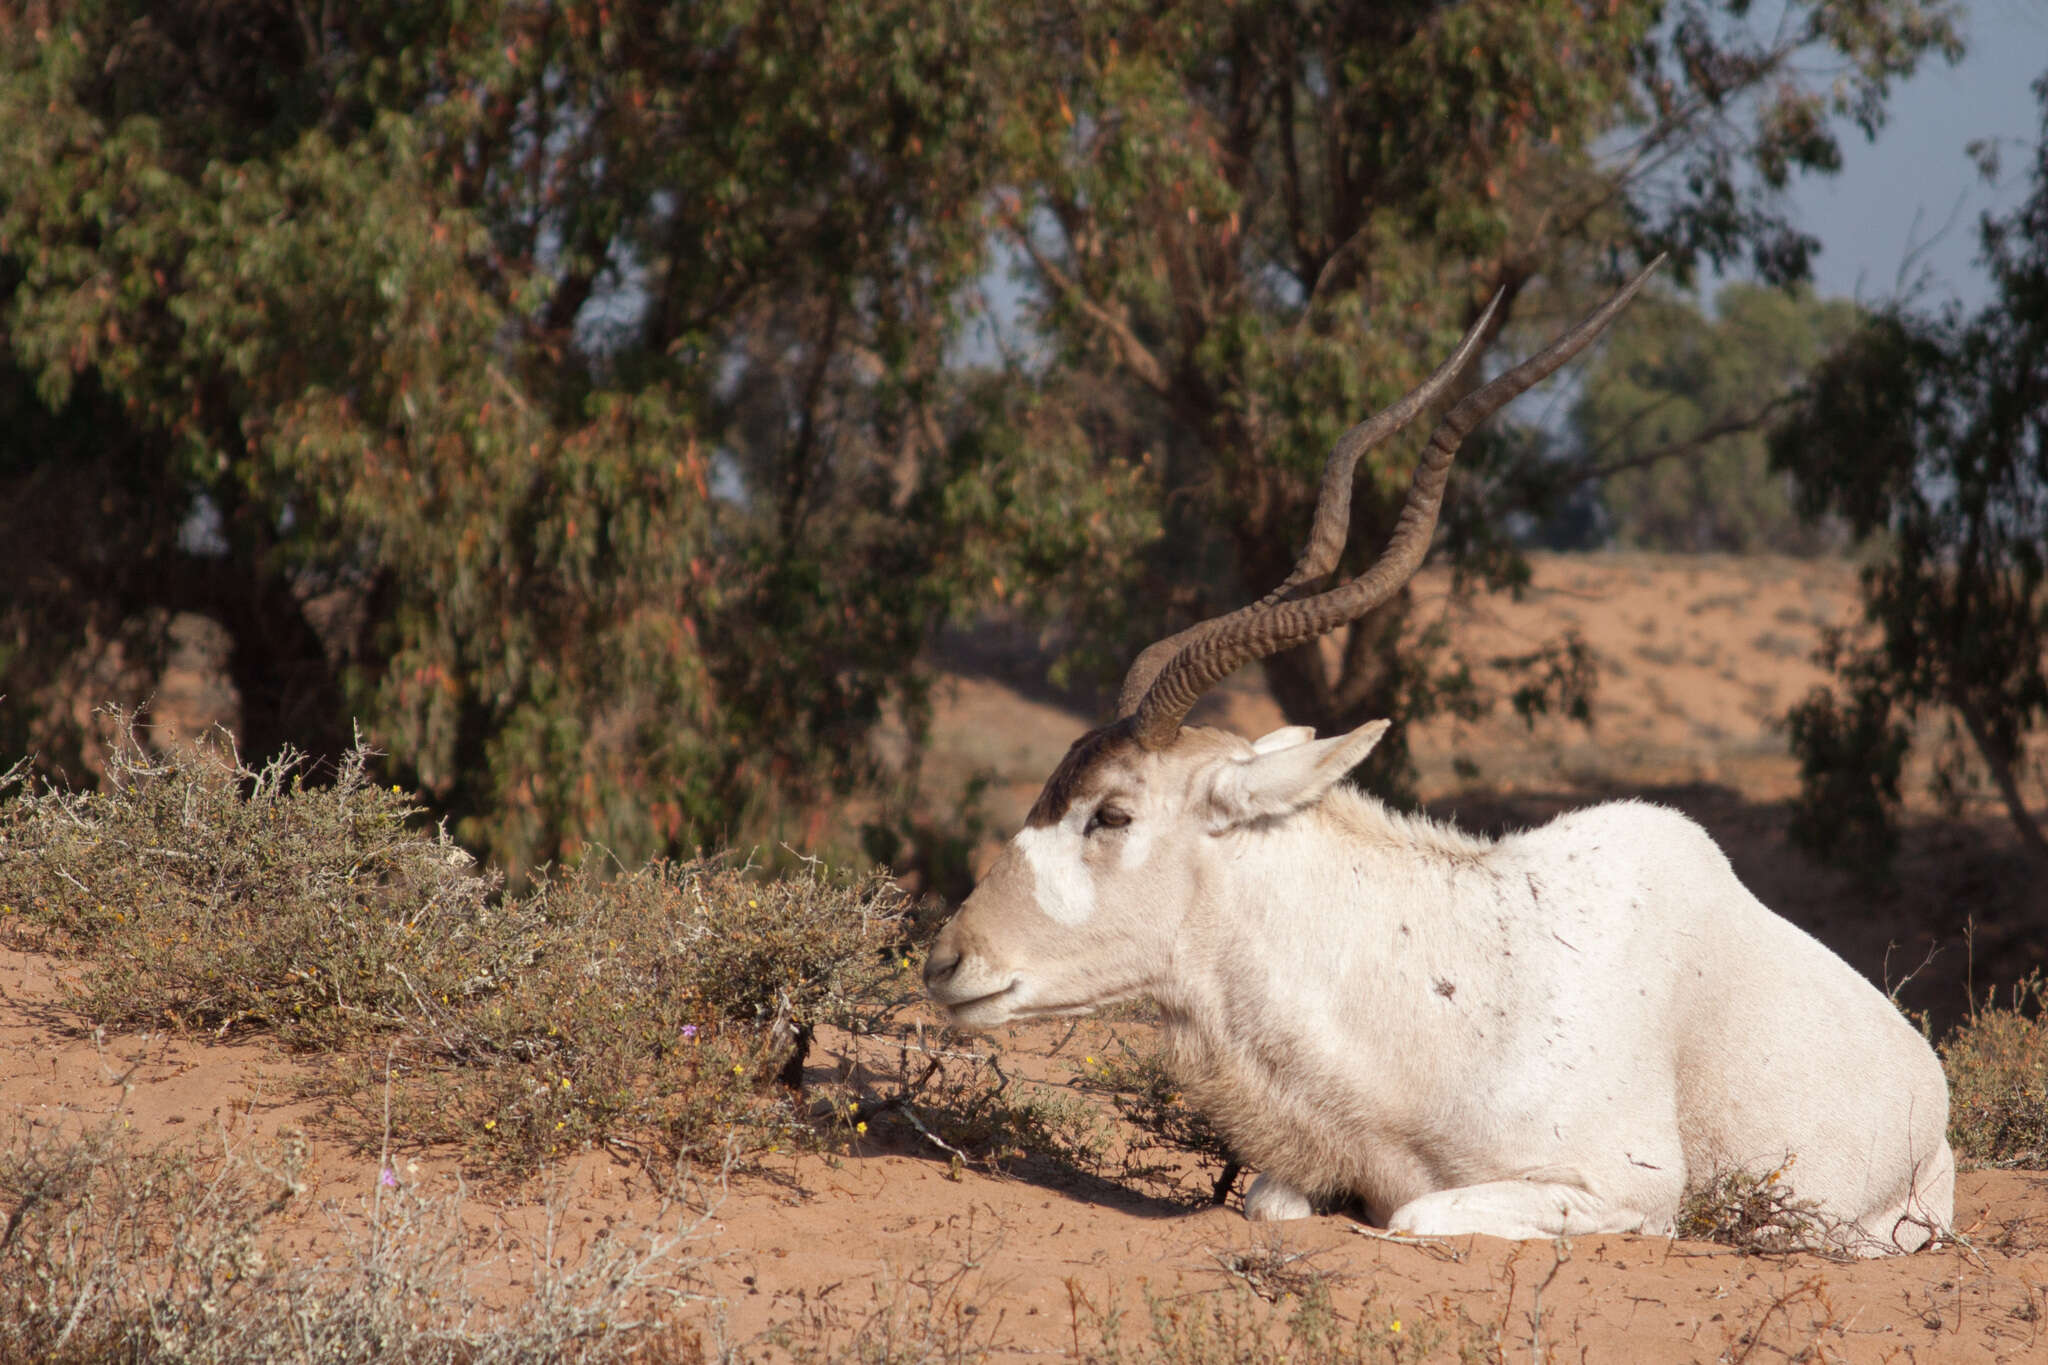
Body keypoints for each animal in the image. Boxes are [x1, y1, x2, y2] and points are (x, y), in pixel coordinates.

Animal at [925, 261, 1949, 1252]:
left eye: (1113, 811)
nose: (946, 960)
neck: (1439, 992)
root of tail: (1924, 1075)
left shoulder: (1626, 1194)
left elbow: (1414, 1215)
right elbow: (1272, 1202)